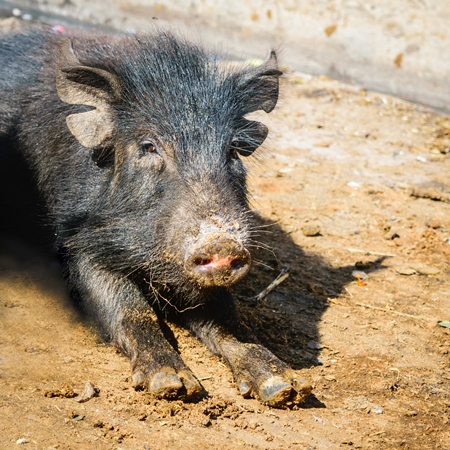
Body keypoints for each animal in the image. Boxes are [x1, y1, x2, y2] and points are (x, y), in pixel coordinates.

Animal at [0, 29, 310, 408]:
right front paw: (173, 386)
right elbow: (131, 308)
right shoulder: (78, 245)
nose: (221, 243)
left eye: (232, 151)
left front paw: (285, 388)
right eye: (148, 146)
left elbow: (228, 318)